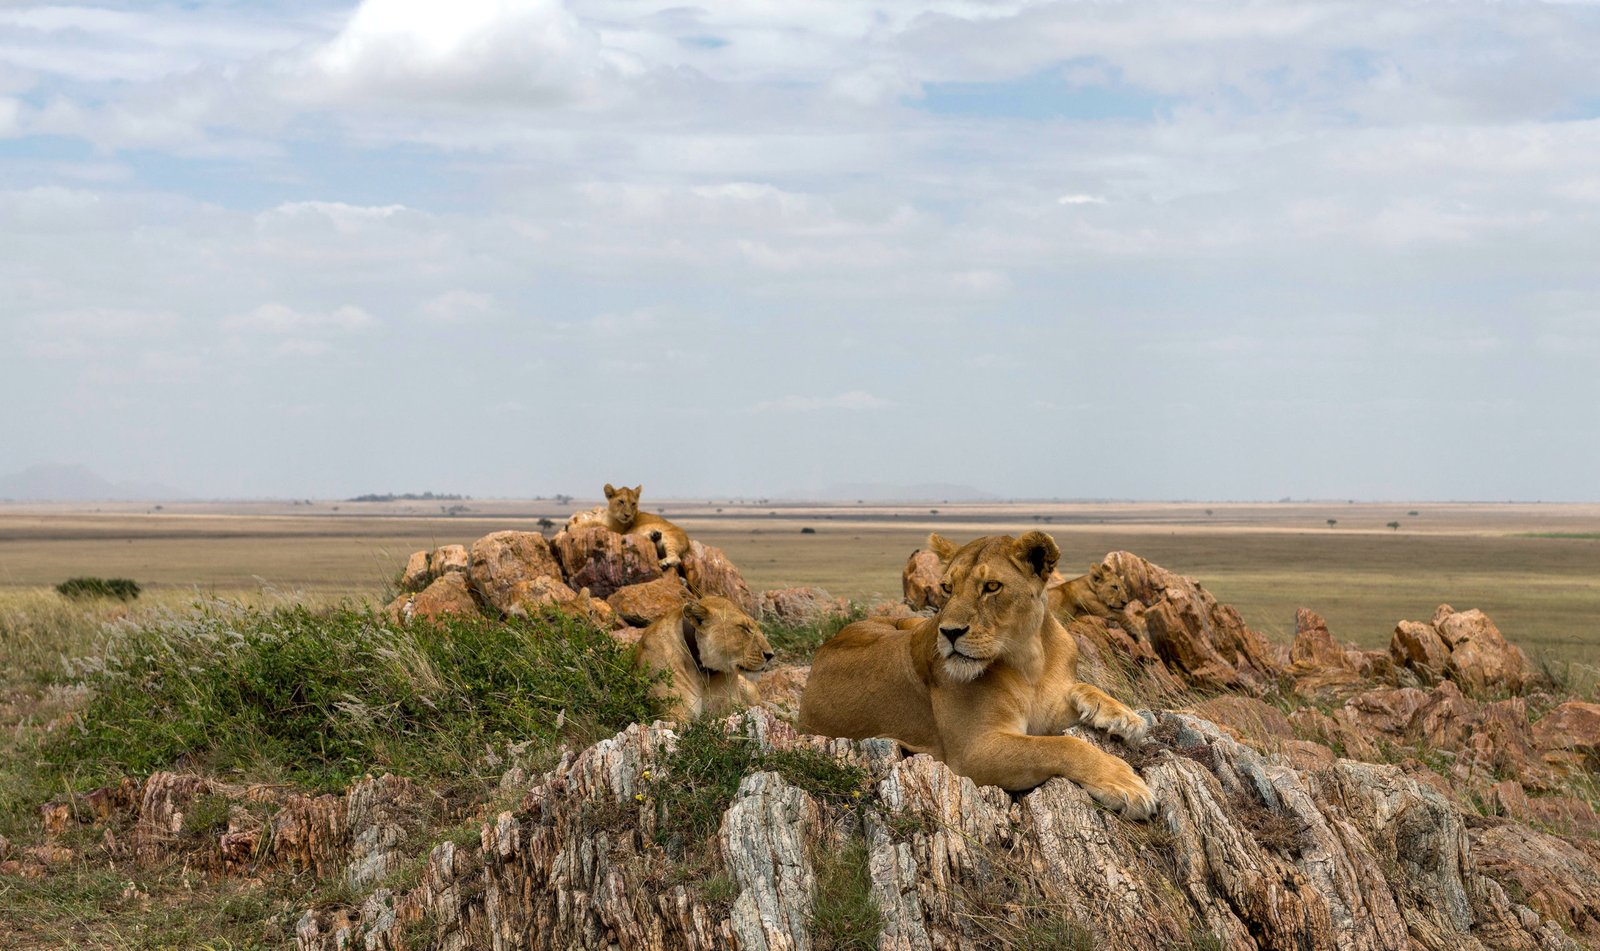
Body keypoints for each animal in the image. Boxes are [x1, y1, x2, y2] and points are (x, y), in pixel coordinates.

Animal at [798, 532, 1155, 818]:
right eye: (947, 587)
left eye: (992, 587)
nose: (949, 632)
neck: (1029, 660)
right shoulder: (973, 752)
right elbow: (1062, 746)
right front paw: (1125, 783)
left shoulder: (1045, 710)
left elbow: (1080, 691)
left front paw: (1123, 716)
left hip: (914, 622)